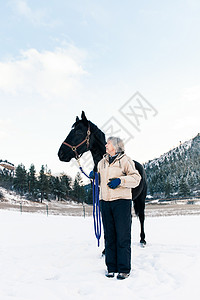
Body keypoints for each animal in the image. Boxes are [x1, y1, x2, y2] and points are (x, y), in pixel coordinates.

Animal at [57, 111, 147, 245]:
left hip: (141, 198)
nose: (60, 153)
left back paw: (142, 239)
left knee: (141, 216)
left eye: (78, 132)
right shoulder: (101, 201)